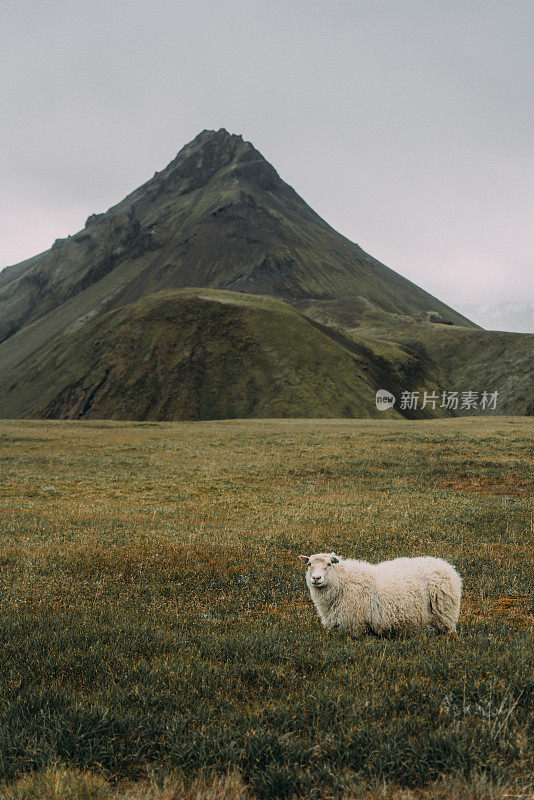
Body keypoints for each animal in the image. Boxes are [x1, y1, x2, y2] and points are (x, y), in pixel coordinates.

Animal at [300, 552, 462, 636]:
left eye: (328, 564)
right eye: (309, 565)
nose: (316, 578)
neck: (342, 581)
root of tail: (447, 566)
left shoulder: (356, 625)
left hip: (445, 613)